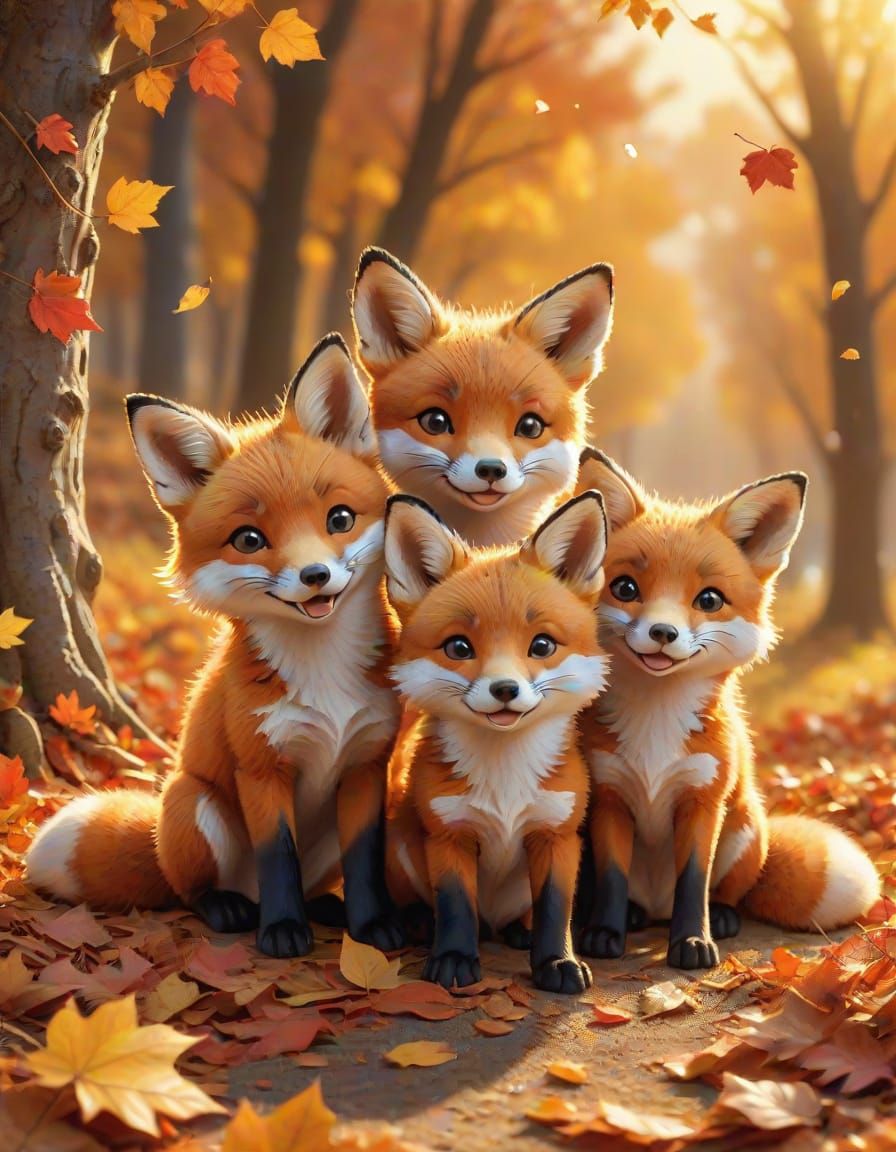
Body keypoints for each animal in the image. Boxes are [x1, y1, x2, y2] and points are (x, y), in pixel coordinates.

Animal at [27, 334, 404, 959]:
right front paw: (282, 931)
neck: (323, 676)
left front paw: (371, 926)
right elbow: (278, 860)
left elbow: (365, 862)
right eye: (249, 540)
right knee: (190, 891)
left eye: (340, 518)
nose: (316, 576)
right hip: (194, 803)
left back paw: (326, 907)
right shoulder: (260, 768)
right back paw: (234, 909)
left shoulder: (367, 767)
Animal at [382, 490, 610, 993]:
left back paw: (519, 932)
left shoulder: (556, 834)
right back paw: (419, 923)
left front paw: (557, 962)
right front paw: (452, 959)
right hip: (402, 849)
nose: (505, 689)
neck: (504, 778)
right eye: (459, 647)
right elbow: (455, 908)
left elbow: (555, 910)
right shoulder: (448, 834)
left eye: (542, 645)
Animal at [574, 449, 880, 970]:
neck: (655, 727)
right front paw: (605, 935)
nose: (663, 633)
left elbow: (694, 884)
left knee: (726, 893)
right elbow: (613, 881)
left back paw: (721, 918)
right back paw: (634, 918)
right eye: (625, 587)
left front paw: (693, 943)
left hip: (744, 833)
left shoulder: (704, 800)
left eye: (709, 599)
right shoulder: (611, 798)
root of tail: (656, 904)